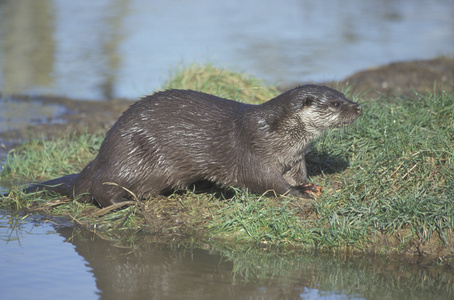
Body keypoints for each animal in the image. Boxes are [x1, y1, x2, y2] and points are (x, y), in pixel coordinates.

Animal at [24, 84, 362, 206]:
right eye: (335, 103)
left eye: (344, 96)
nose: (358, 106)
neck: (278, 135)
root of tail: (100, 157)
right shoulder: (251, 152)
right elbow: (265, 181)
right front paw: (295, 194)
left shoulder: (296, 158)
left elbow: (298, 174)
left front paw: (308, 186)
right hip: (128, 157)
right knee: (101, 190)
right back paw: (128, 202)